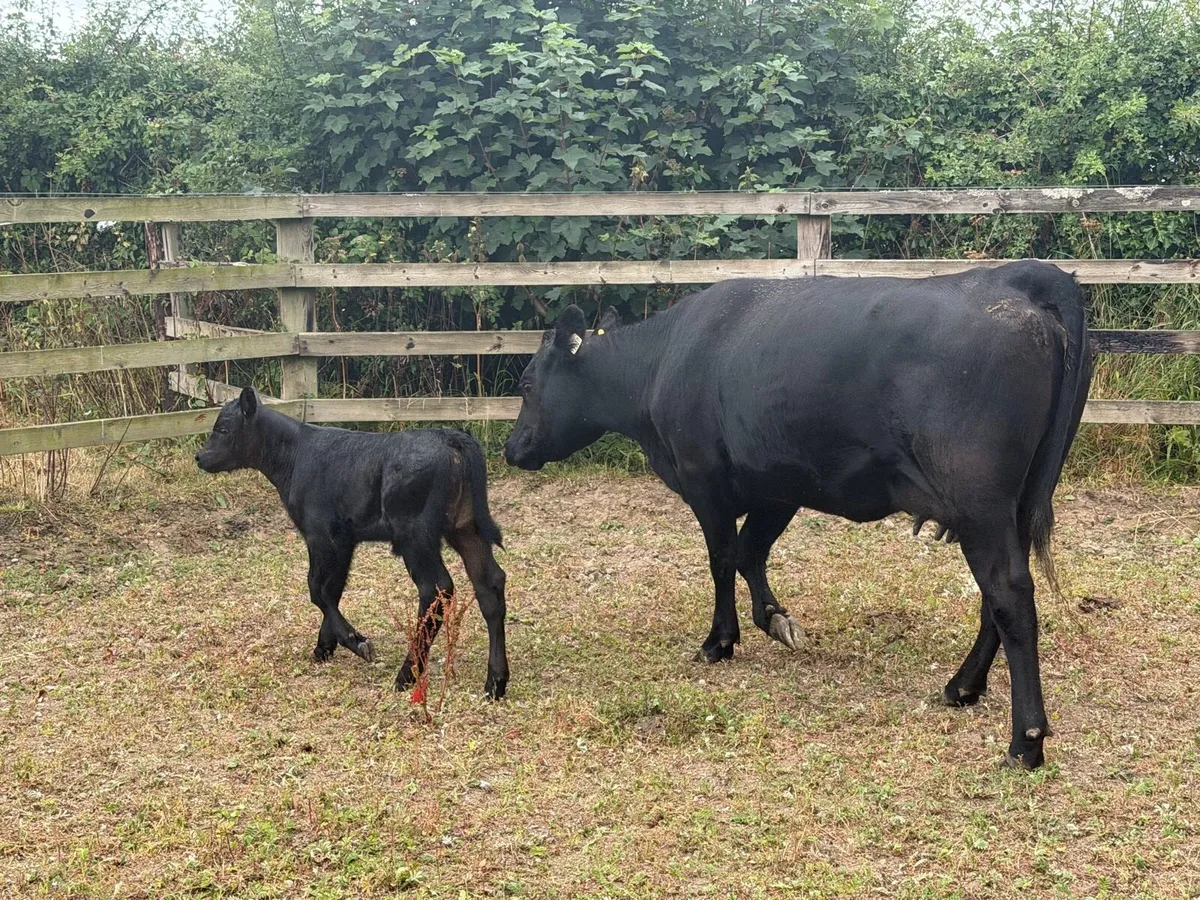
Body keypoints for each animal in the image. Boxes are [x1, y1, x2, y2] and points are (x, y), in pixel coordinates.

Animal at [196, 387, 509, 700]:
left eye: (223, 430)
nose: (200, 457)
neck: (296, 455)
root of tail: (450, 437)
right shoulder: (345, 539)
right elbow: (332, 589)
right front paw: (325, 646)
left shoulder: (321, 535)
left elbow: (316, 588)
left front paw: (354, 641)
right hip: (466, 529)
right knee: (490, 585)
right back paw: (495, 681)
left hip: (415, 536)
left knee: (436, 589)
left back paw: (407, 674)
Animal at [504, 261, 1091, 768]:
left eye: (527, 385)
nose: (513, 448)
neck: (664, 360)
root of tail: (1016, 277)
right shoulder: (779, 485)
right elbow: (749, 553)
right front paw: (775, 620)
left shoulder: (705, 480)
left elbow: (722, 558)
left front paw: (719, 641)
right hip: (1016, 502)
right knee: (997, 597)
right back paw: (963, 686)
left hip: (979, 503)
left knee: (1009, 594)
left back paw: (1025, 741)